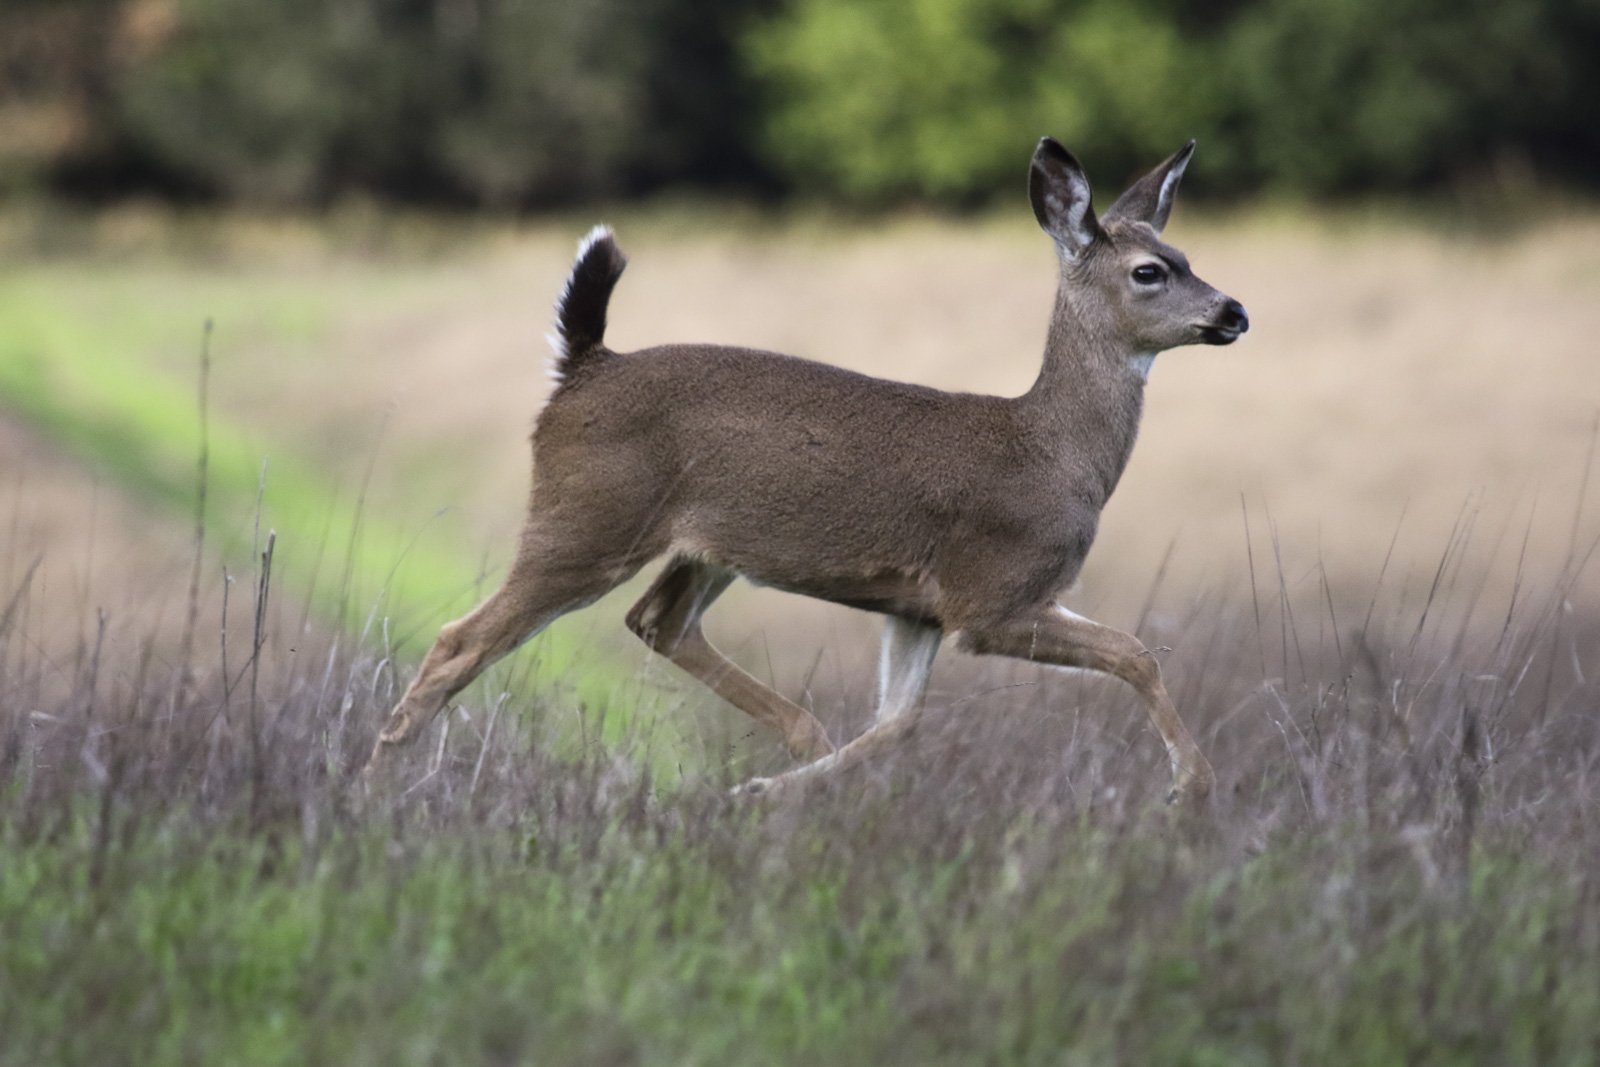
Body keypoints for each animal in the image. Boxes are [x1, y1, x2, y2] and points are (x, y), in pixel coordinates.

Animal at [366, 139, 1248, 809]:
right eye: (1149, 270)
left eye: (1186, 255)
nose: (1235, 311)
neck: (1053, 450)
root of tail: (581, 365)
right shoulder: (990, 595)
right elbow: (1137, 652)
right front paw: (1192, 786)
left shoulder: (918, 610)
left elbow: (896, 725)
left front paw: (761, 792)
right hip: (585, 520)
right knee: (460, 640)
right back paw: (375, 784)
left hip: (702, 546)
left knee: (656, 622)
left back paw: (791, 743)